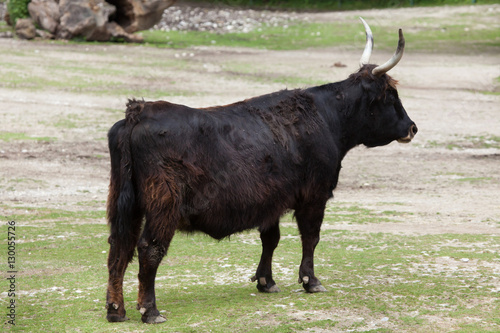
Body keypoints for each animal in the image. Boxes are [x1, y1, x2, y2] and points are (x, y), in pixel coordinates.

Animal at [105, 17, 418, 322]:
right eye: (391, 96)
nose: (412, 127)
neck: (326, 118)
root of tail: (139, 112)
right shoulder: (314, 196)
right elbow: (311, 237)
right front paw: (311, 281)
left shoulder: (271, 202)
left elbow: (271, 239)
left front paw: (266, 281)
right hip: (163, 207)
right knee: (149, 250)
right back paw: (150, 310)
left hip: (125, 206)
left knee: (118, 248)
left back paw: (116, 309)